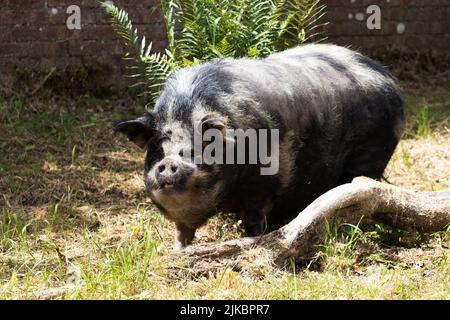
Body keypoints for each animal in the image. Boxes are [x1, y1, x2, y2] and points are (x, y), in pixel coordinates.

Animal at [114, 44, 402, 250]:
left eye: (196, 150)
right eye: (158, 150)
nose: (168, 163)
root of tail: (387, 76)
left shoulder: (265, 182)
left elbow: (255, 217)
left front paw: (251, 240)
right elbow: (182, 231)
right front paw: (176, 251)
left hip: (371, 154)